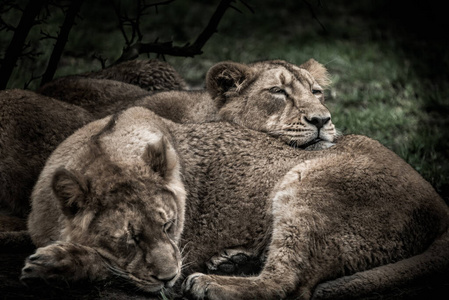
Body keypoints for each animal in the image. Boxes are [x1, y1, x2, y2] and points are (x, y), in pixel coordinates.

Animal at [21, 106, 448, 298]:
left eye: (168, 225)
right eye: (130, 238)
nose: (169, 278)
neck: (105, 149)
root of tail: (438, 201)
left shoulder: (183, 248)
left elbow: (112, 267)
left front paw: (56, 265)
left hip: (307, 185)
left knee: (287, 284)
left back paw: (211, 283)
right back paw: (231, 261)